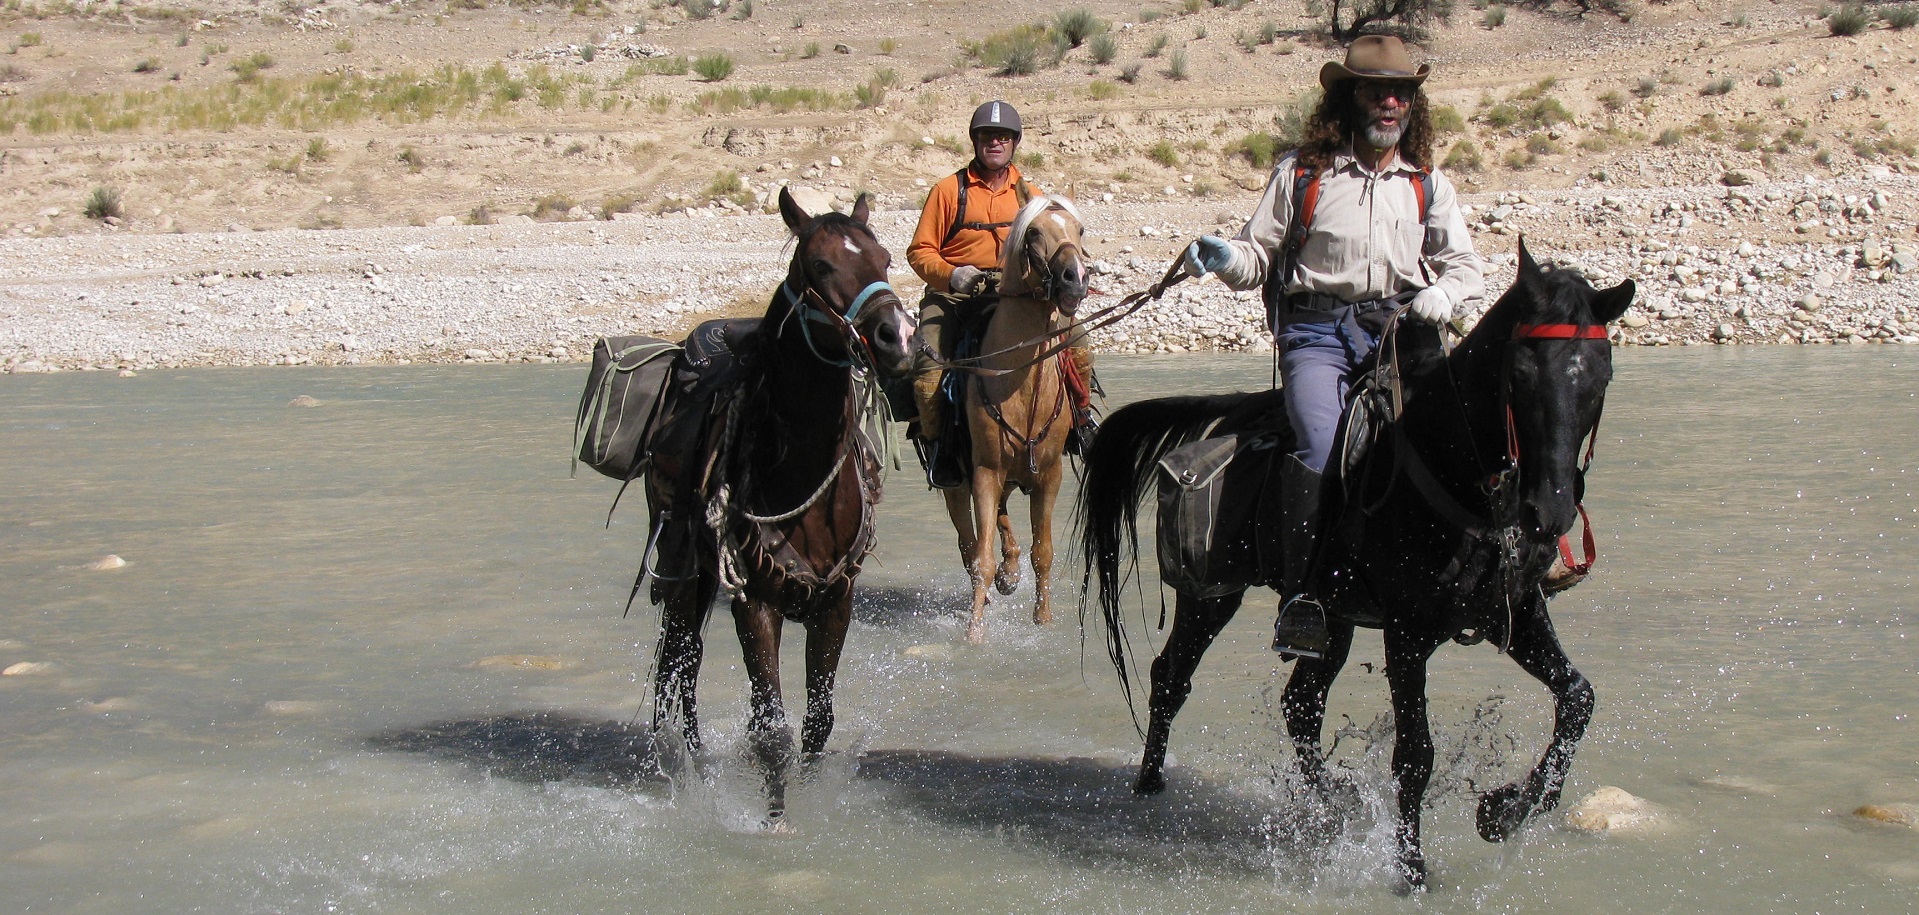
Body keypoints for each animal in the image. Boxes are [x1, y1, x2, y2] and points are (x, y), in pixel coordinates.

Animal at [640, 188, 917, 824]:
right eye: (819, 266)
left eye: (886, 258)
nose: (896, 337)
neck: (797, 470)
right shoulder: (754, 601)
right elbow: (771, 728)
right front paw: (775, 819)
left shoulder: (836, 600)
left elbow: (817, 721)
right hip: (687, 572)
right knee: (680, 667)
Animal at [947, 192, 1097, 636]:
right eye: (1033, 233)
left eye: (1079, 229)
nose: (1075, 278)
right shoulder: (985, 472)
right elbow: (981, 558)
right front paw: (974, 634)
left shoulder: (1049, 475)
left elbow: (1042, 551)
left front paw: (1042, 622)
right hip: (959, 484)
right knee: (970, 543)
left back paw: (1010, 574)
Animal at [1082, 242, 1634, 886]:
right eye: (1520, 373)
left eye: (1600, 375)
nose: (1549, 512)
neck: (1450, 470)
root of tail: (1238, 414)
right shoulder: (1408, 635)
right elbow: (1415, 753)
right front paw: (1412, 869)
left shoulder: (1515, 612)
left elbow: (1577, 700)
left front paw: (1504, 811)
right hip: (1212, 594)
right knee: (1172, 677)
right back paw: (1149, 785)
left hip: (1330, 619)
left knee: (1300, 705)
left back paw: (1334, 803)